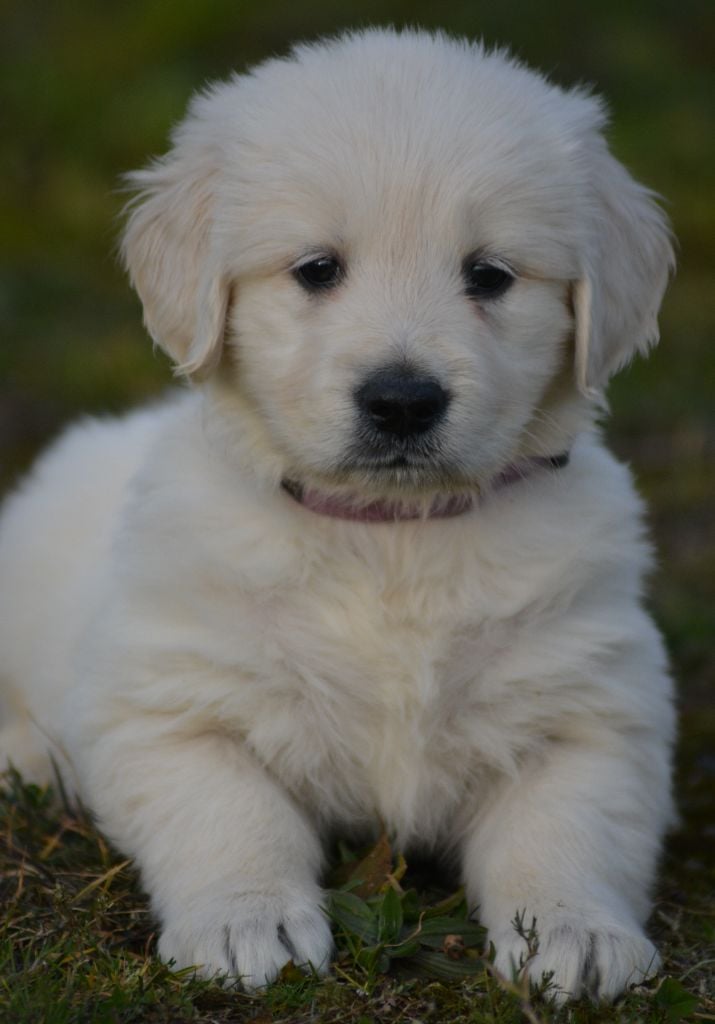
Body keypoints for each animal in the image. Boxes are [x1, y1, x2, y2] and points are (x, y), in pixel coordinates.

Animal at [0, 29, 671, 999]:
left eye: (489, 276)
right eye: (317, 269)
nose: (401, 400)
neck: (389, 540)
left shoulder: (589, 710)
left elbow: (565, 831)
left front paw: (576, 933)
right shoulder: (170, 706)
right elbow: (231, 813)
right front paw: (247, 922)